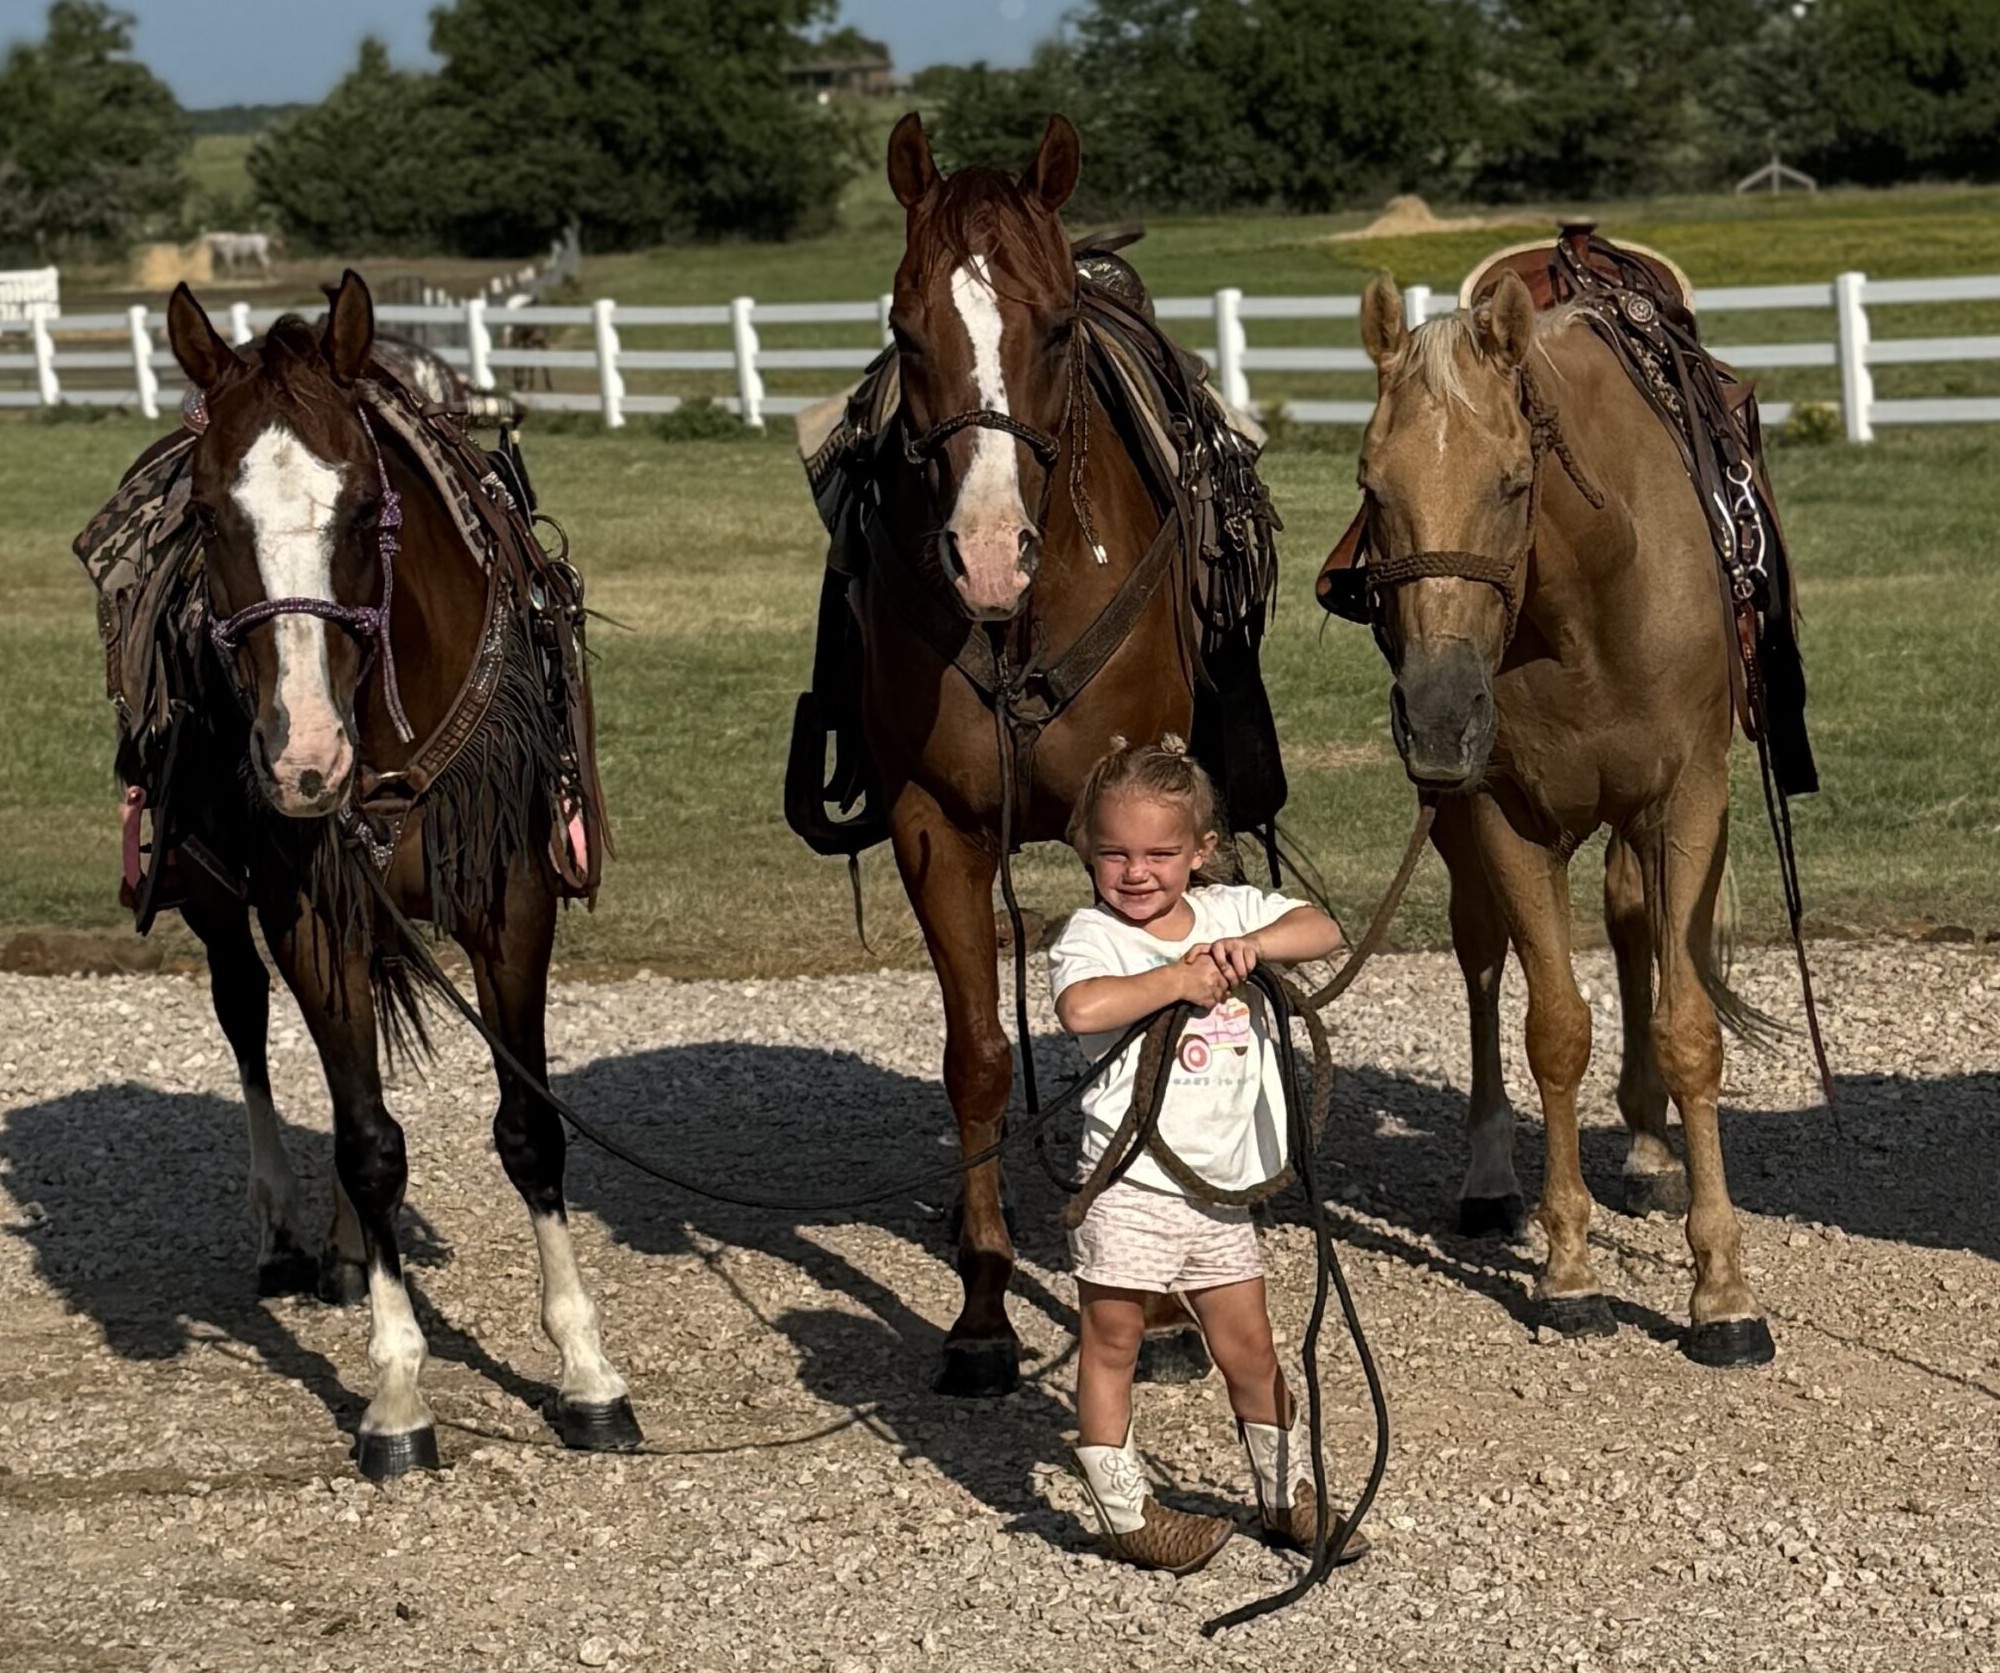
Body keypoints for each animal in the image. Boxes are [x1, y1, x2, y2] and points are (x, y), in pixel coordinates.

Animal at [142, 271, 637, 1474]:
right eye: (209, 517)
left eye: (365, 507)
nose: (303, 757)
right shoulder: (309, 912)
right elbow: (370, 1140)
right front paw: (398, 1388)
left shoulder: (509, 898)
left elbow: (529, 1127)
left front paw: (586, 1369)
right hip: (218, 897)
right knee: (248, 1021)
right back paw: (286, 1228)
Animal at [859, 114, 1224, 1396]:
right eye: (903, 327)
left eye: (1056, 325)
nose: (983, 552)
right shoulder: (933, 826)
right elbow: (975, 1054)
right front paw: (980, 1308)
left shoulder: (1138, 815)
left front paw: (1156, 1317)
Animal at [1350, 268, 1777, 1367]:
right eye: (1373, 488)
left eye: (1512, 482)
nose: (1439, 711)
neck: (1592, 592)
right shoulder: (1501, 814)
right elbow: (1551, 1028)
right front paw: (1570, 1268)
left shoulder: (1686, 800)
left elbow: (1685, 1025)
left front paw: (1722, 1290)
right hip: (1456, 822)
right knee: (1479, 952)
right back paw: (1490, 1175)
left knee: (1630, 917)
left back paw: (1647, 1144)